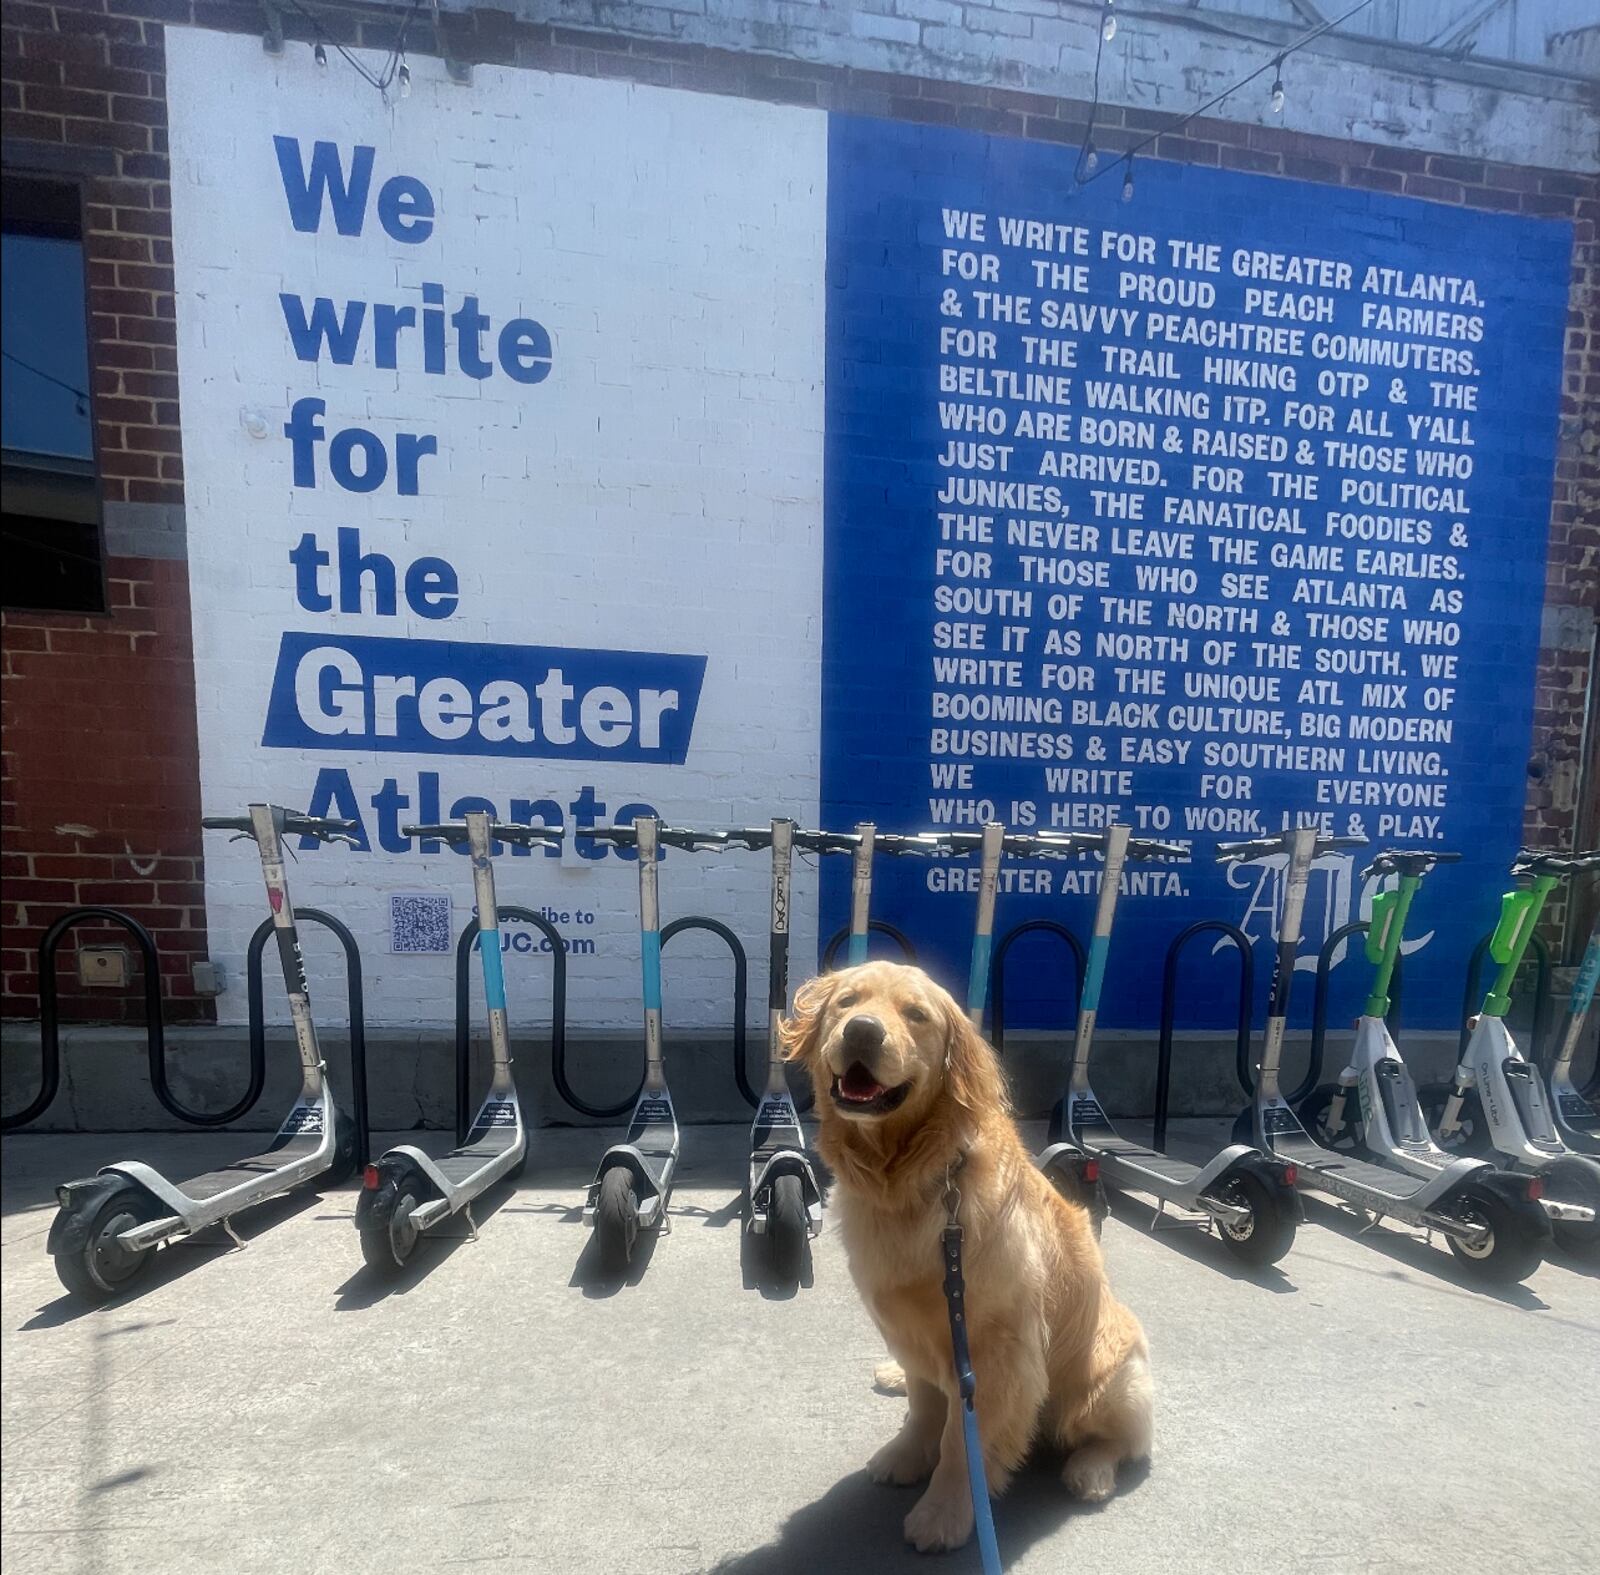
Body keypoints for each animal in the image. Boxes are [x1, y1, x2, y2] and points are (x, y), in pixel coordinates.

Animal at [784, 960, 1152, 1549]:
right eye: (847, 1001)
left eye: (916, 1014)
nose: (862, 1031)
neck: (912, 1178)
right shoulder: (910, 1325)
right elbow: (923, 1404)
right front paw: (906, 1453)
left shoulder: (993, 1350)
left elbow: (963, 1441)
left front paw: (946, 1513)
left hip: (1106, 1382)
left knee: (1123, 1439)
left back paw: (1090, 1471)